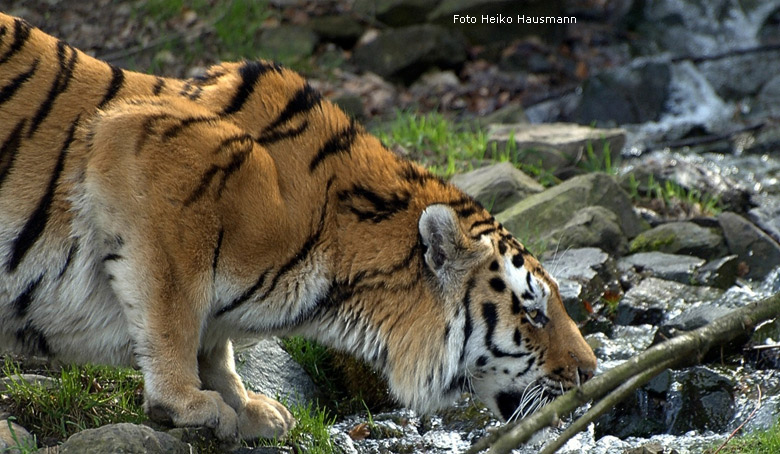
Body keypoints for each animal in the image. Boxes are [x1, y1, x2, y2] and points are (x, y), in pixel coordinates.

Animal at [1, 11, 596, 444]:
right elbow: (173, 307)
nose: (591, 372)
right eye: (533, 313)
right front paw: (187, 403)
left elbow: (212, 339)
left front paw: (246, 407)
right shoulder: (144, 151)